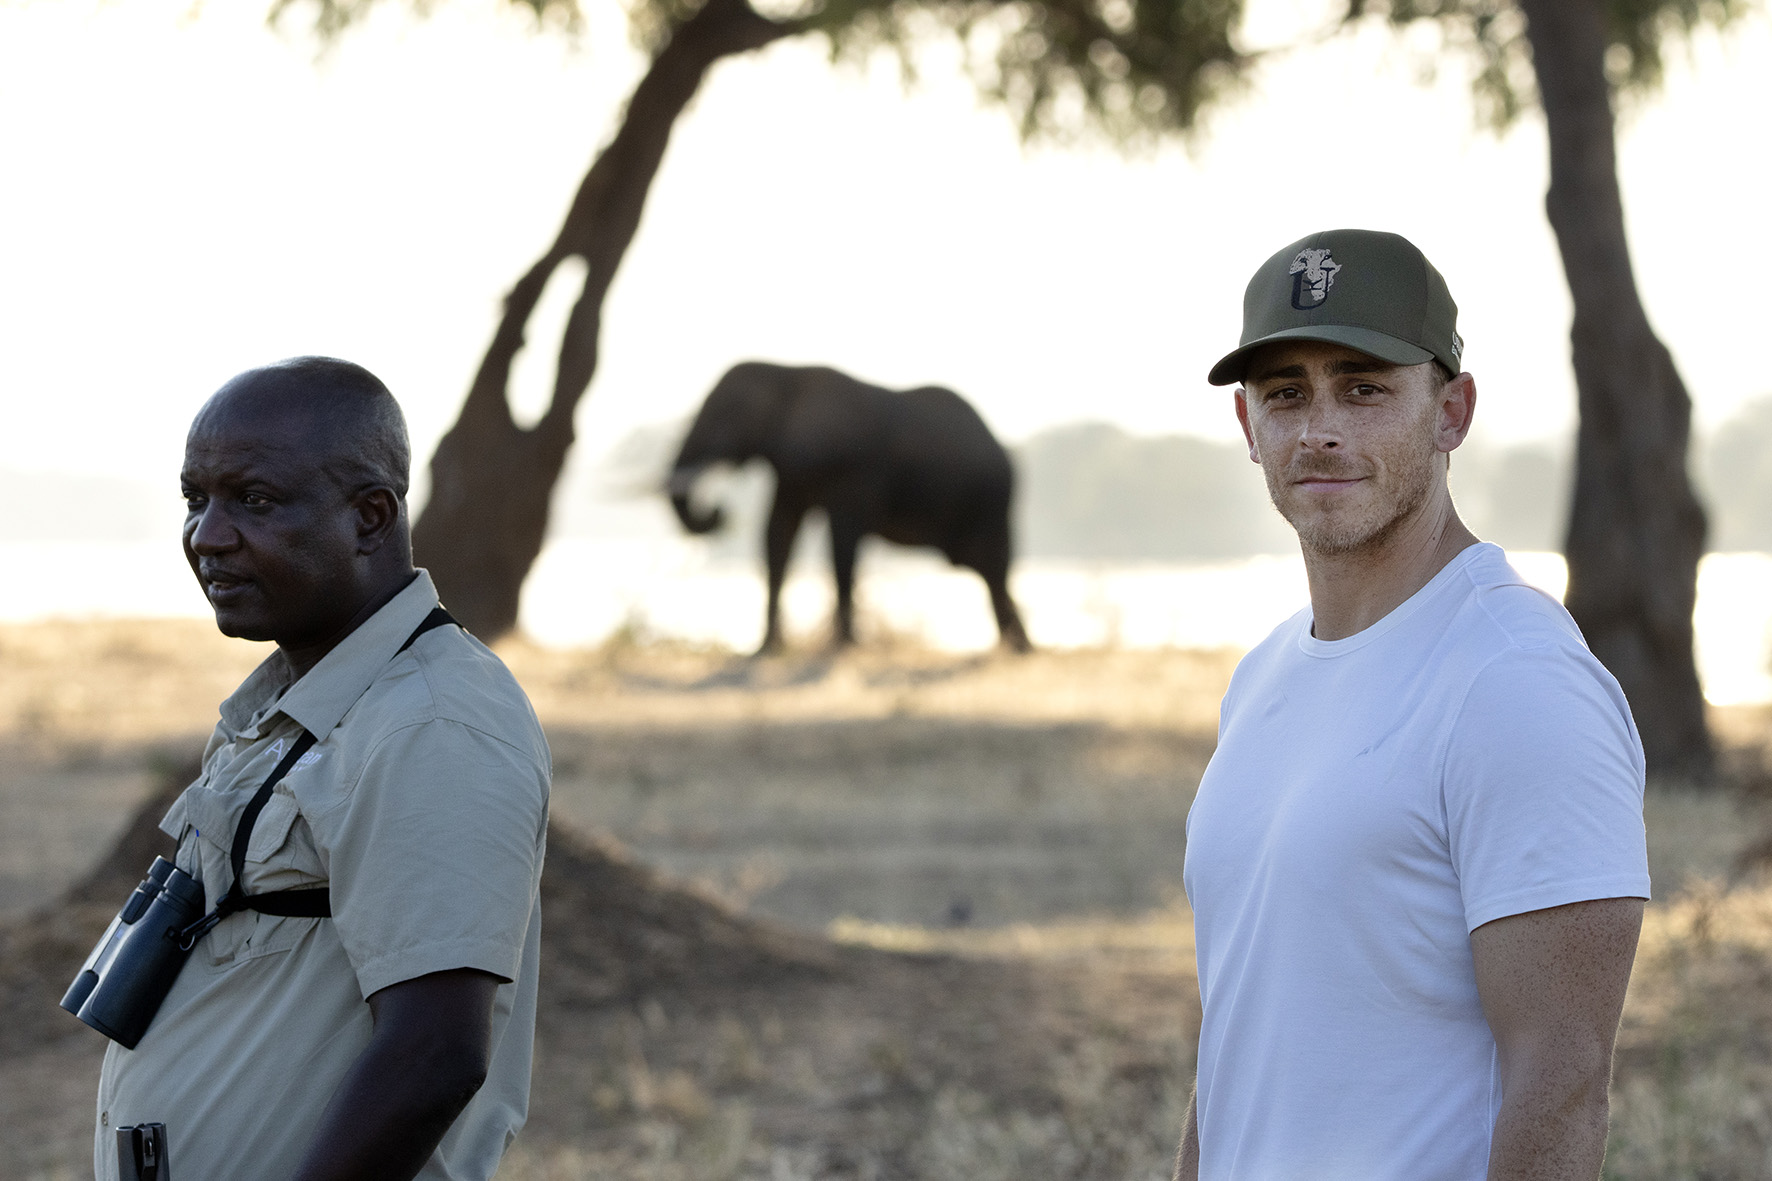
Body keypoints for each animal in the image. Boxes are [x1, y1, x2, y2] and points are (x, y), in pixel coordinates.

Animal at [666, 361, 1034, 652]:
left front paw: (843, 646)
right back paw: (1015, 647)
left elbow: (842, 541)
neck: (786, 373)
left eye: (728, 414)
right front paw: (767, 650)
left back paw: (1017, 649)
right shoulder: (791, 472)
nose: (717, 511)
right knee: (992, 576)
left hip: (991, 503)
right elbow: (777, 534)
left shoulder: (855, 473)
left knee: (995, 571)